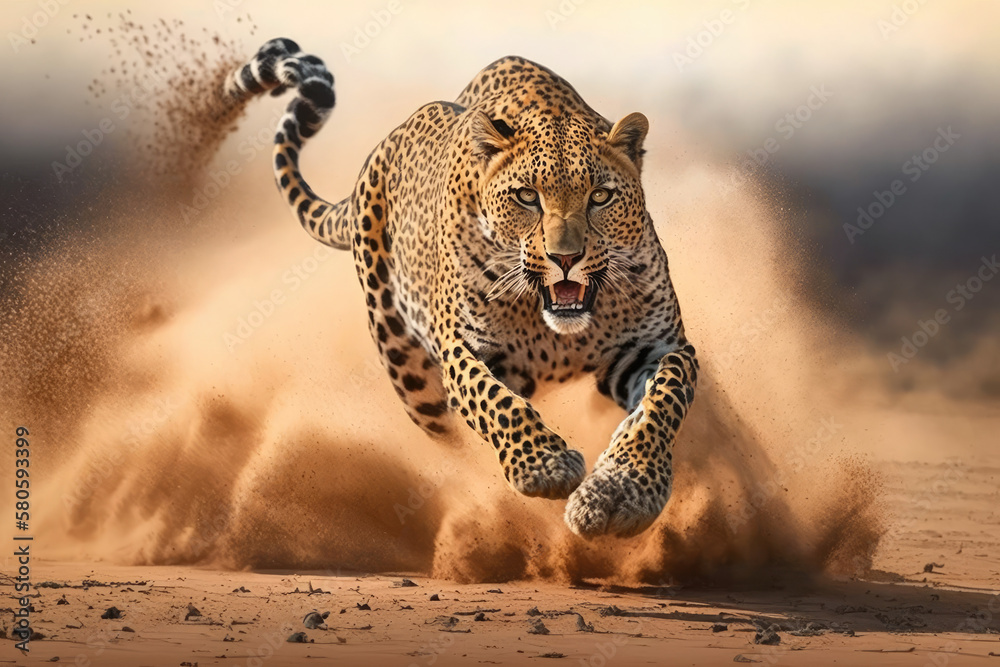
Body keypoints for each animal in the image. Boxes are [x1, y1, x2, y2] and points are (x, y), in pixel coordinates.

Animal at [224, 38, 698, 538]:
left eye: (600, 197)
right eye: (526, 196)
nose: (565, 258)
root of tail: (380, 151)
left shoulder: (656, 346)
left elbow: (663, 401)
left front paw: (622, 490)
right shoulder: (464, 350)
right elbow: (497, 402)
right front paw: (546, 467)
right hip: (408, 368)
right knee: (447, 437)